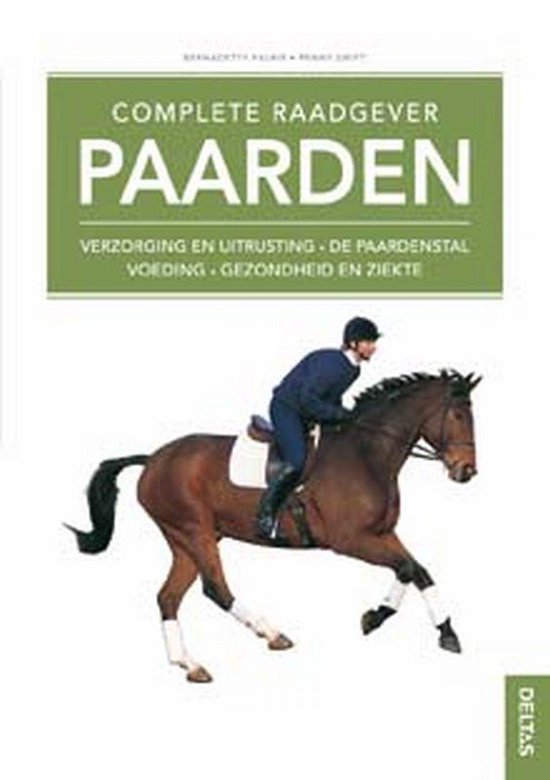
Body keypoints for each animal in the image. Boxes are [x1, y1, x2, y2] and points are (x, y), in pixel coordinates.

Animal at [67, 369, 481, 682]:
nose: (466, 472)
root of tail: (152, 459)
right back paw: (273, 634)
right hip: (194, 531)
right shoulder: (351, 539)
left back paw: (189, 664)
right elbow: (409, 568)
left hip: (187, 539)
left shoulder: (381, 534)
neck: (367, 453)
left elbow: (416, 570)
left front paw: (395, 621)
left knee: (168, 597)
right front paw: (420, 626)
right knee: (216, 589)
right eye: (459, 416)